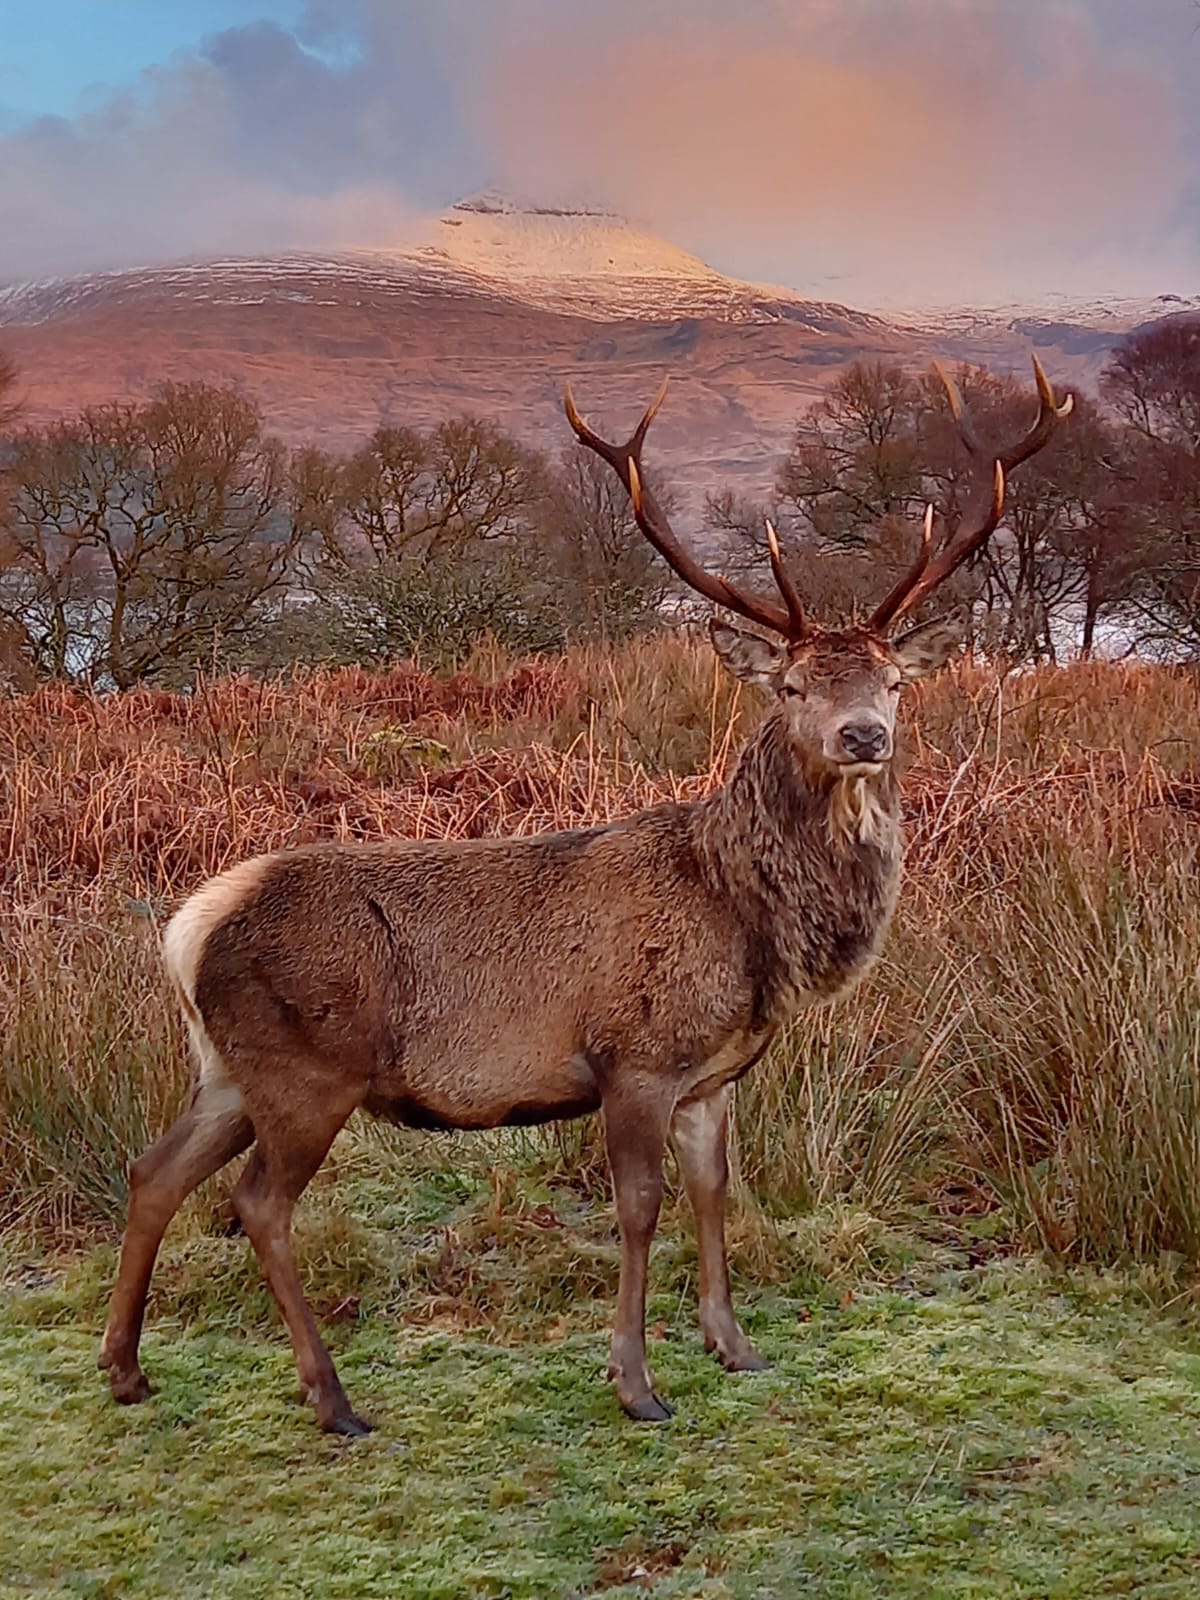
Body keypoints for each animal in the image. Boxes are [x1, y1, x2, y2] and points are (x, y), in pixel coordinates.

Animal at [99, 358, 1071, 1435]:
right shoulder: (632, 1055)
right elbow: (641, 1209)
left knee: (154, 1170)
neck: (746, 927)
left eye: (897, 680)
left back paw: (127, 1369)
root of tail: (189, 927)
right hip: (308, 1068)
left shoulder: (713, 1076)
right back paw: (332, 1396)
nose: (864, 735)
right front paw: (637, 1382)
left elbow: (716, 1193)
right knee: (258, 1203)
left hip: (229, 1070)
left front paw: (735, 1346)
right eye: (791, 686)